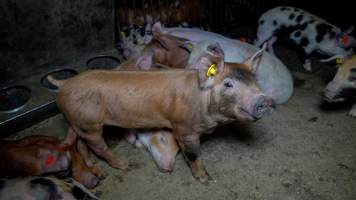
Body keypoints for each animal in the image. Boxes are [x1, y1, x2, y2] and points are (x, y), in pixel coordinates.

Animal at [57, 42, 276, 183]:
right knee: (98, 145)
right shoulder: (184, 128)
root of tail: (64, 84)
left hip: (79, 122)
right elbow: (193, 155)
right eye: (228, 84)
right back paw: (125, 165)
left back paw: (94, 166)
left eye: (255, 81)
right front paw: (205, 179)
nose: (264, 100)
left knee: (81, 143)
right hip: (89, 123)